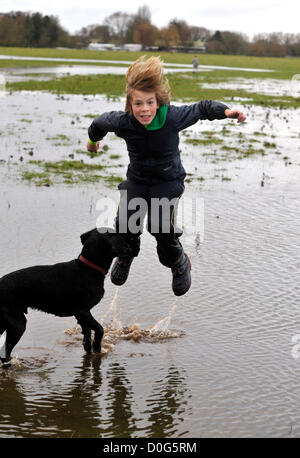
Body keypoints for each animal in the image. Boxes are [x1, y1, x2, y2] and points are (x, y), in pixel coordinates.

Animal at [0, 229, 131, 368]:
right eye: (115, 235)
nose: (129, 249)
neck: (87, 268)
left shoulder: (81, 315)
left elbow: (87, 335)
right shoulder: (83, 311)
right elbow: (99, 329)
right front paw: (97, 347)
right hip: (17, 324)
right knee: (5, 353)